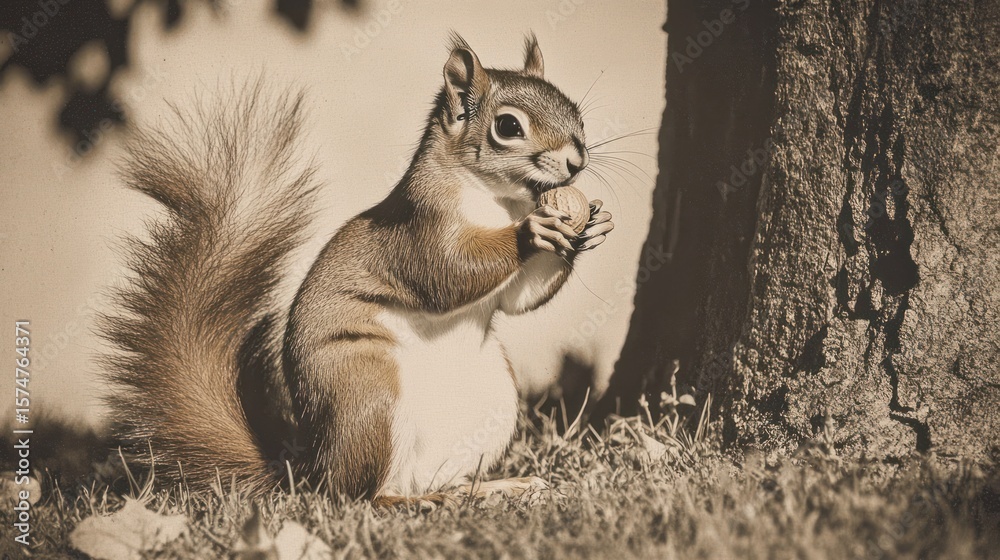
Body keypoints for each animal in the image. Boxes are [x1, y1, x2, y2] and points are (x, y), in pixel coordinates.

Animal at [102, 34, 614, 506]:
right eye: (508, 126)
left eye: (575, 111)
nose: (576, 161)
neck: (499, 201)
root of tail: (311, 473)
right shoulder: (417, 232)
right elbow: (448, 274)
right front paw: (532, 232)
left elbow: (517, 299)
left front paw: (593, 227)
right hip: (368, 392)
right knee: (360, 495)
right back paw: (416, 501)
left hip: (493, 398)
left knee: (425, 480)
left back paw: (492, 487)